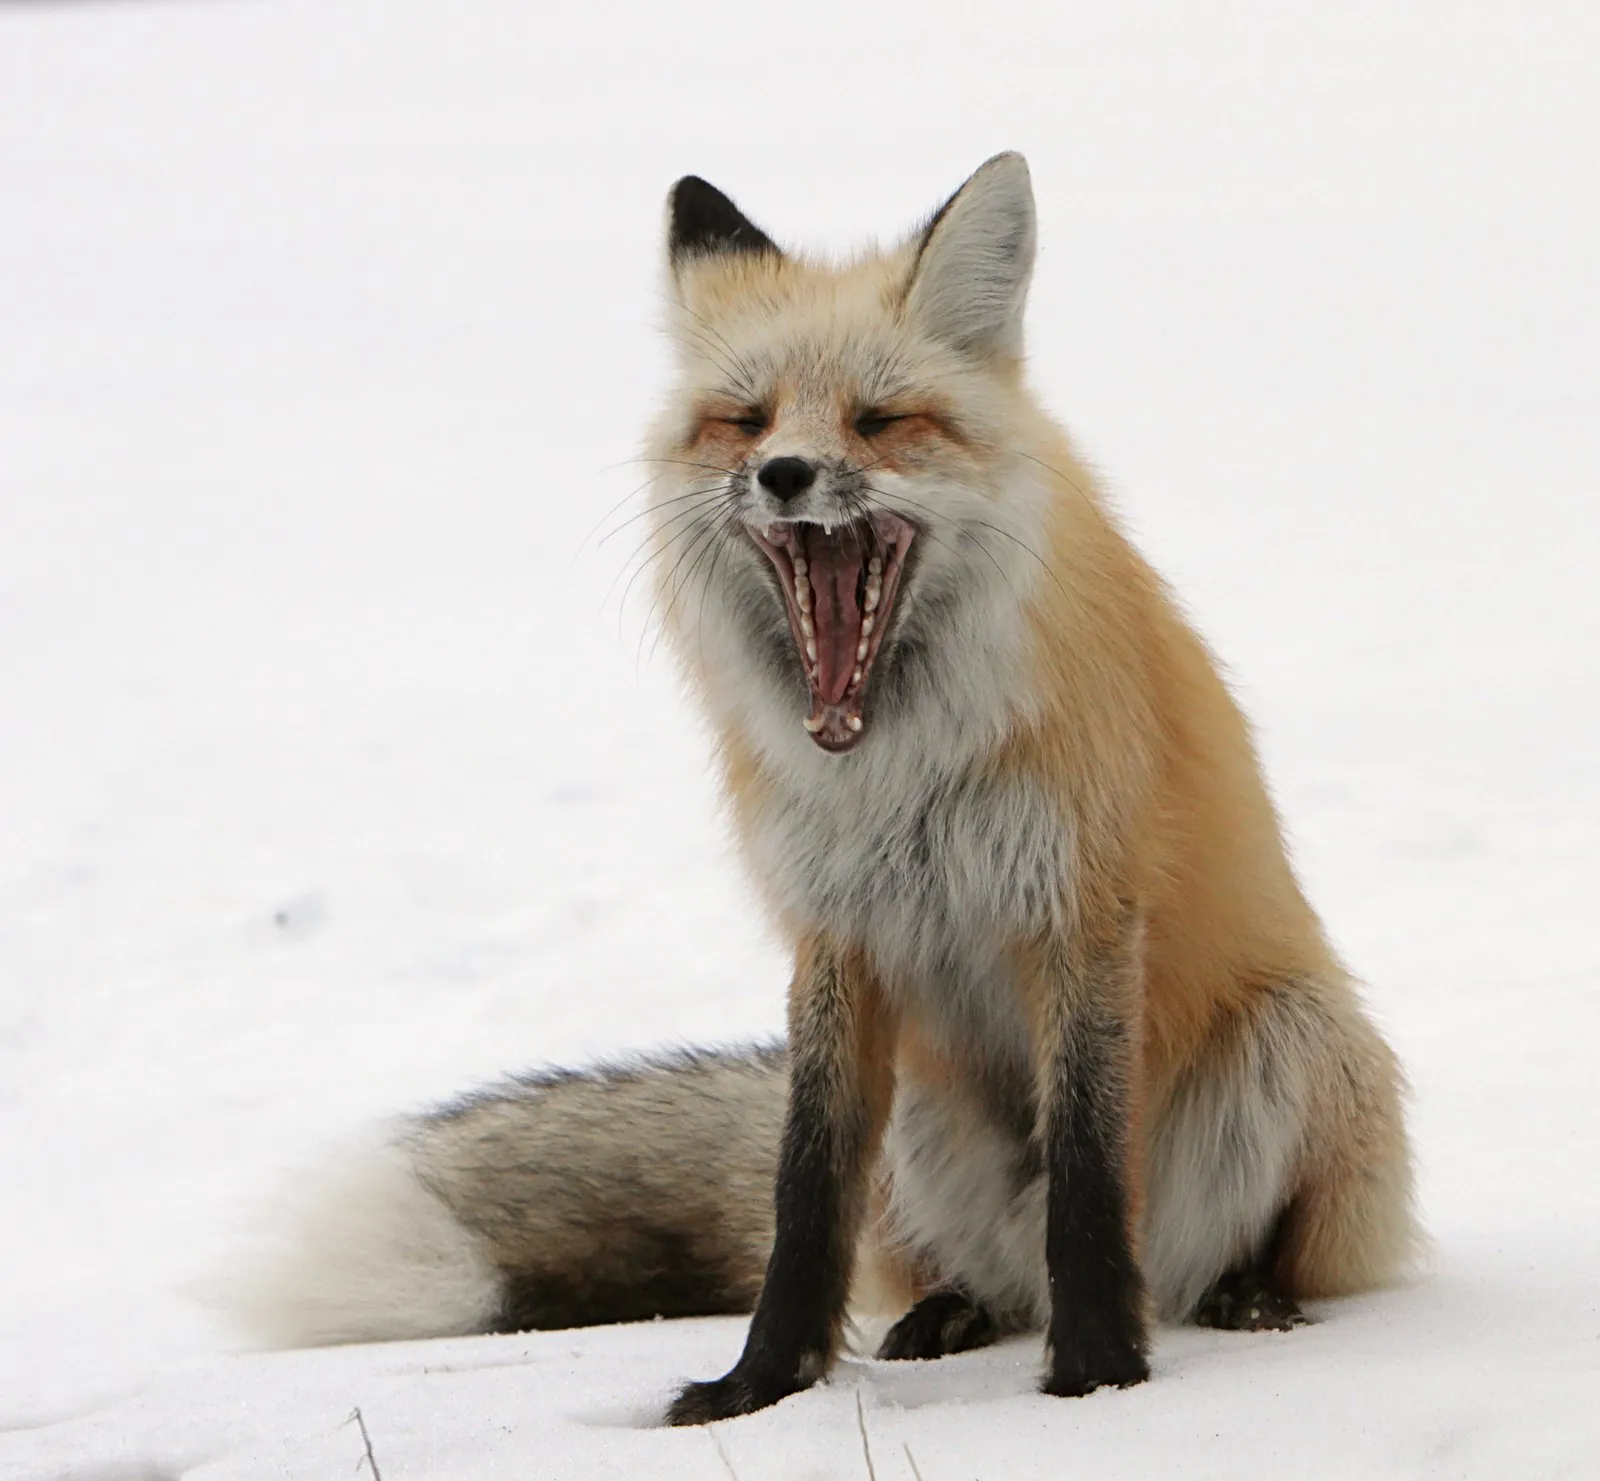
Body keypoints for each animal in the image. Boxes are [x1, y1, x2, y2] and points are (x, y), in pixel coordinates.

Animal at [227, 153, 1418, 1421]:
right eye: (744, 420)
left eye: (880, 420)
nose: (784, 473)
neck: (898, 774)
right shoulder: (835, 932)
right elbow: (803, 1194)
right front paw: (758, 1386)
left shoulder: (1080, 911)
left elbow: (1090, 1178)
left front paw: (1098, 1375)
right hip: (924, 1126)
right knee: (962, 1270)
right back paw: (949, 1310)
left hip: (1294, 1035)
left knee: (1215, 1248)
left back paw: (1244, 1291)